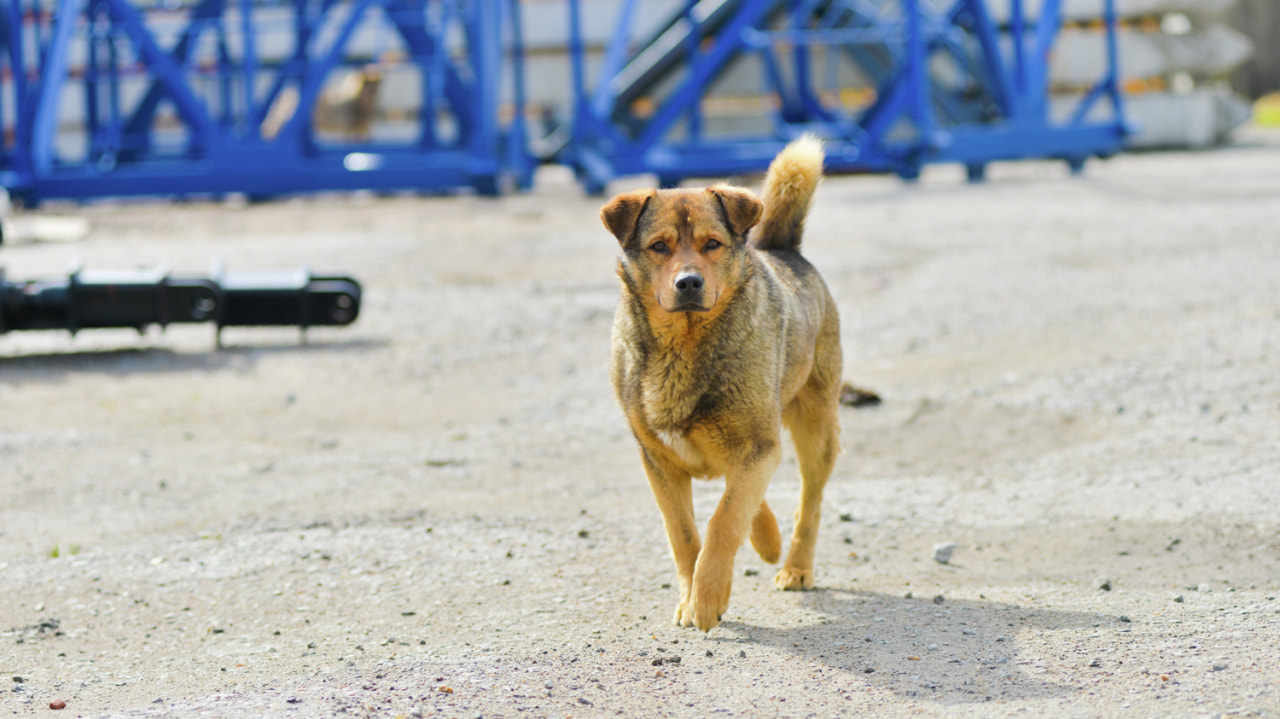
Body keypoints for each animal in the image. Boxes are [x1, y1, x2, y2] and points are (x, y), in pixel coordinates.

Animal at [599, 135, 839, 626]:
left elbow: (724, 520)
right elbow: (683, 533)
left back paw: (795, 566)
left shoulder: (758, 444)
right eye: (659, 246)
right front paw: (691, 597)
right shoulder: (659, 461)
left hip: (815, 427)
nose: (689, 283)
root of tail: (783, 249)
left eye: (712, 243)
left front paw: (708, 596)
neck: (684, 347)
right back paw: (766, 537)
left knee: (808, 503)